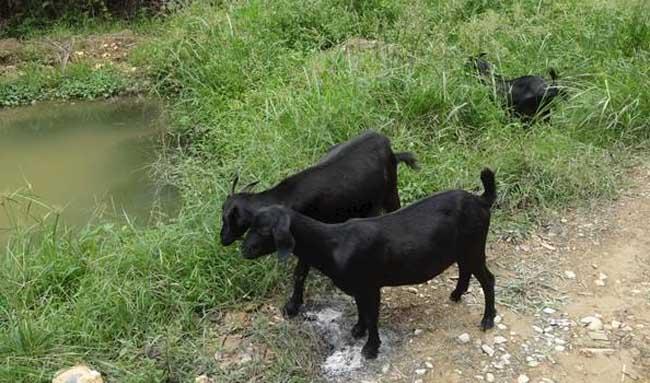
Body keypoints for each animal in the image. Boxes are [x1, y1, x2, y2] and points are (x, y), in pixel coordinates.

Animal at [220, 131, 418, 318]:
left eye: (228, 218)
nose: (223, 239)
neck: (284, 197)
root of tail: (386, 143)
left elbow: (299, 273)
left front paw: (292, 306)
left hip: (391, 192)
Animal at [238, 168, 496, 360]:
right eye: (251, 225)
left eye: (264, 230)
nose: (244, 250)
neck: (333, 244)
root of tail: (481, 200)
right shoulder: (358, 287)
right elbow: (361, 309)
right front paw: (358, 330)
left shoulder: (370, 285)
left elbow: (372, 316)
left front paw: (370, 348)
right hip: (464, 250)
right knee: (465, 269)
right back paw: (457, 294)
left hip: (474, 247)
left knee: (487, 279)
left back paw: (487, 319)